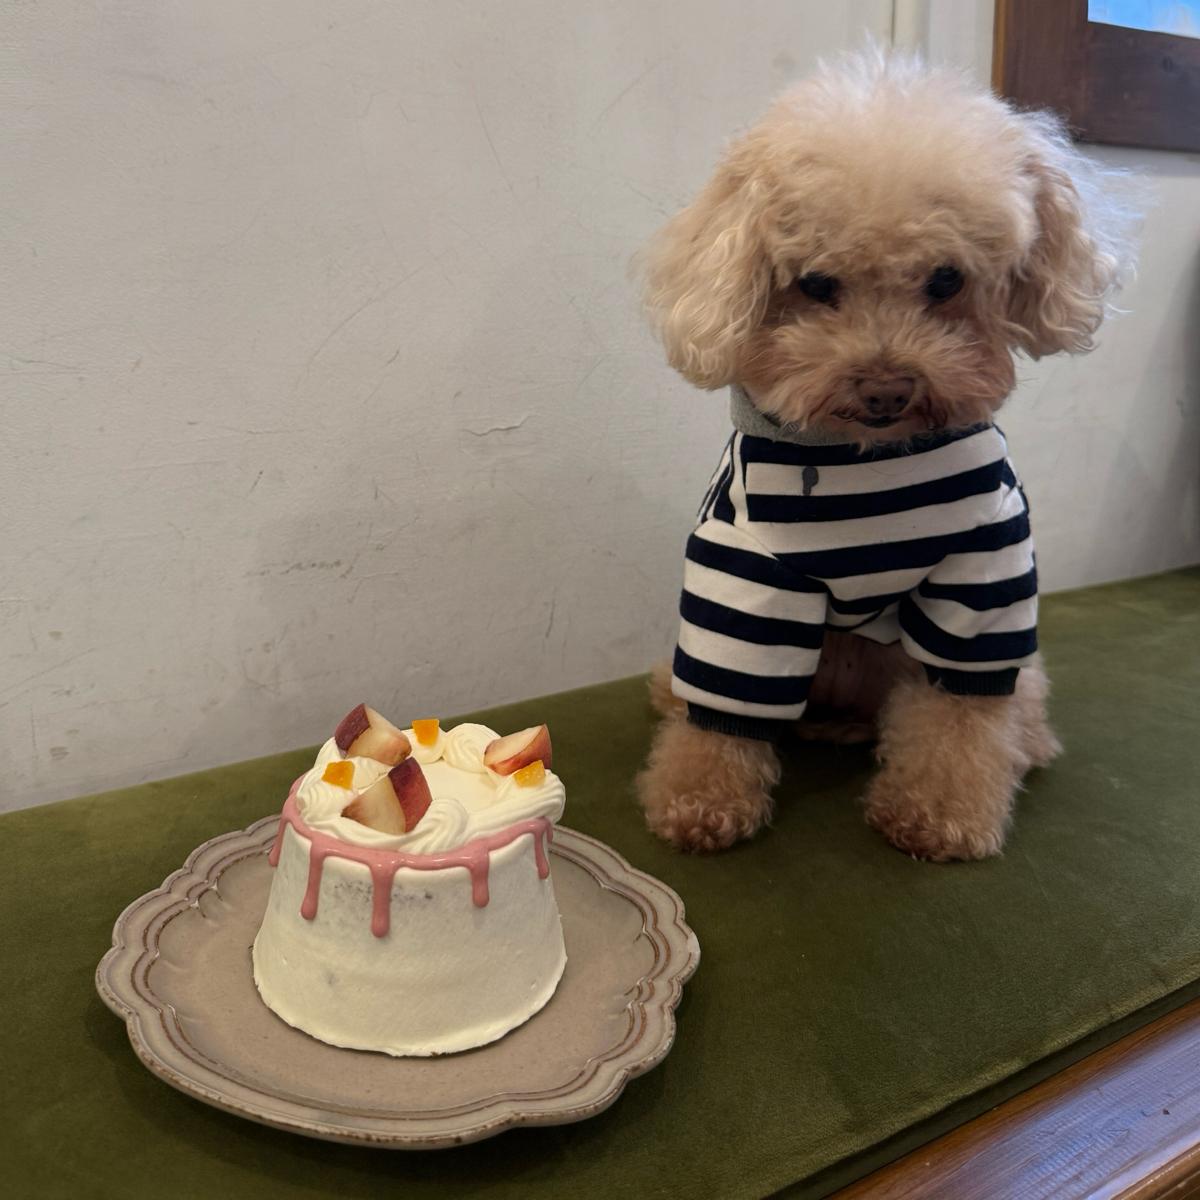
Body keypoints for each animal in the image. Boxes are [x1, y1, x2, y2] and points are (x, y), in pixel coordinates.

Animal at [635, 50, 1132, 860]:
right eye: (815, 283)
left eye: (946, 279)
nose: (886, 389)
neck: (863, 458)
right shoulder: (743, 575)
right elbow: (723, 704)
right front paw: (699, 802)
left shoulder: (983, 569)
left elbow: (959, 713)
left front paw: (937, 813)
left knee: (1010, 700)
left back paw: (1025, 744)